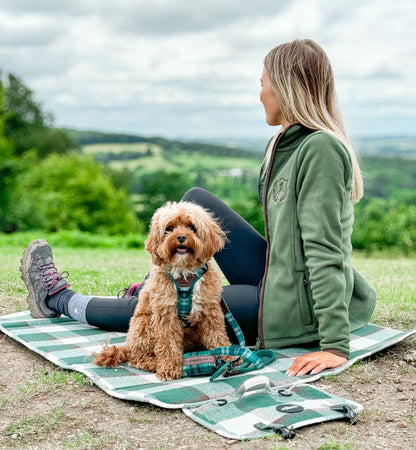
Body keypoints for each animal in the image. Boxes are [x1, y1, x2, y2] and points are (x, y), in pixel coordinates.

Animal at [92, 202, 232, 382]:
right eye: (169, 228)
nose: (181, 237)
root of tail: (129, 346)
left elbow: (217, 335)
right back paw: (155, 364)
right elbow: (167, 344)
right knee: (138, 359)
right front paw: (169, 368)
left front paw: (229, 356)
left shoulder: (210, 309)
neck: (184, 275)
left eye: (192, 227)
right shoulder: (166, 314)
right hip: (144, 325)